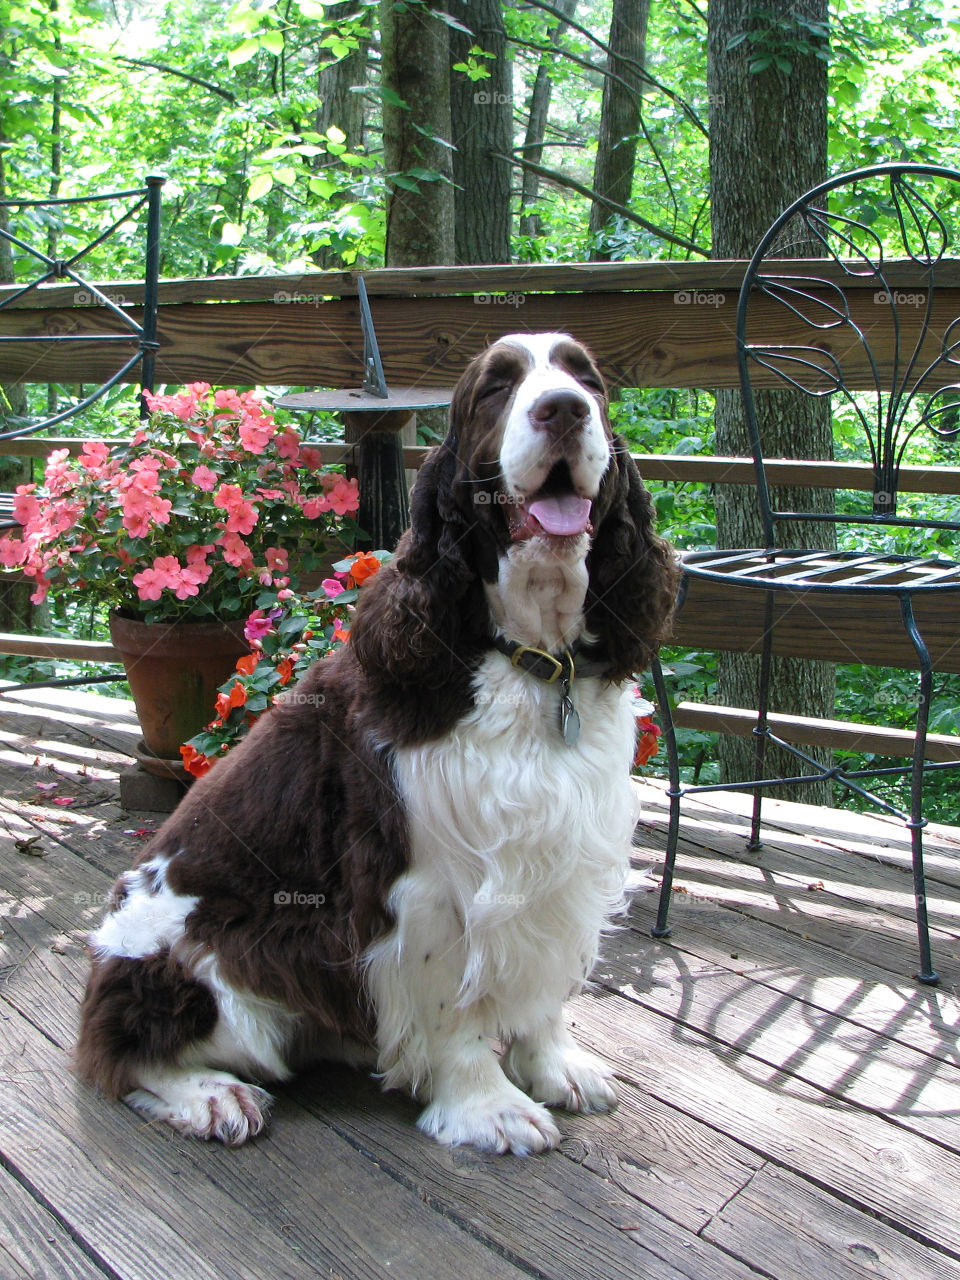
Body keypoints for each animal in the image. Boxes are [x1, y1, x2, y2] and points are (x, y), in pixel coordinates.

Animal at [73, 335, 675, 1157]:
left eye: (587, 379)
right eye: (497, 388)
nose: (563, 410)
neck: (527, 658)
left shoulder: (561, 858)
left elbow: (541, 983)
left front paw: (556, 1067)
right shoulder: (422, 884)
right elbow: (451, 1008)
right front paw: (486, 1106)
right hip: (207, 953)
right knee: (123, 1046)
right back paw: (212, 1096)